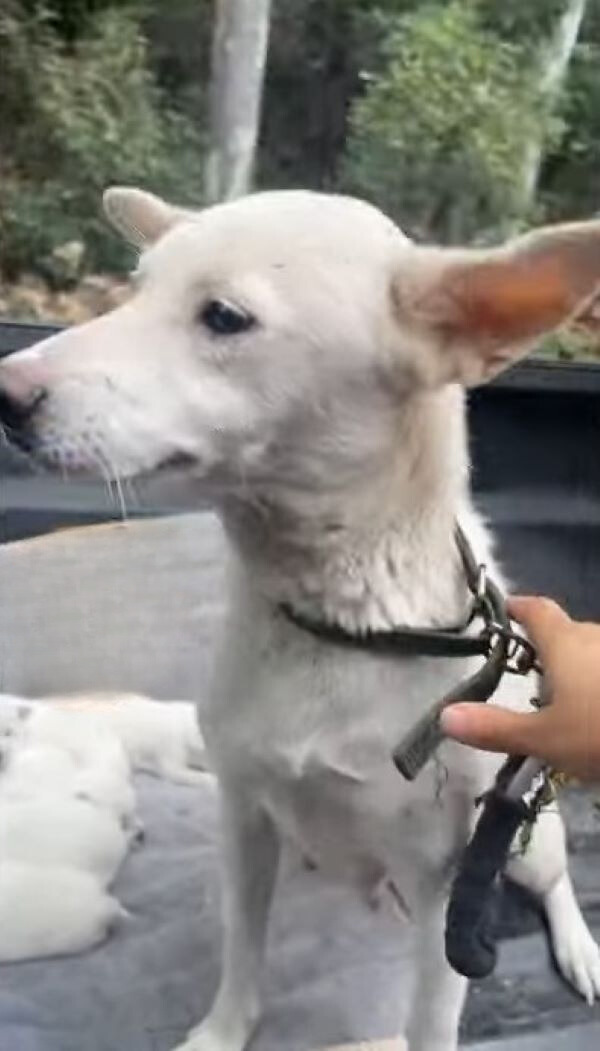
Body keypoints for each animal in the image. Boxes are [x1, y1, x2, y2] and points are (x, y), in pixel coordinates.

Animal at [1, 191, 600, 1051]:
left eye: (223, 317)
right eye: (135, 289)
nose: (5, 392)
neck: (339, 626)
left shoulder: (447, 888)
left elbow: (429, 1019)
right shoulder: (247, 820)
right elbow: (243, 951)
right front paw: (222, 1030)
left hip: (526, 836)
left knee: (555, 883)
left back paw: (582, 947)